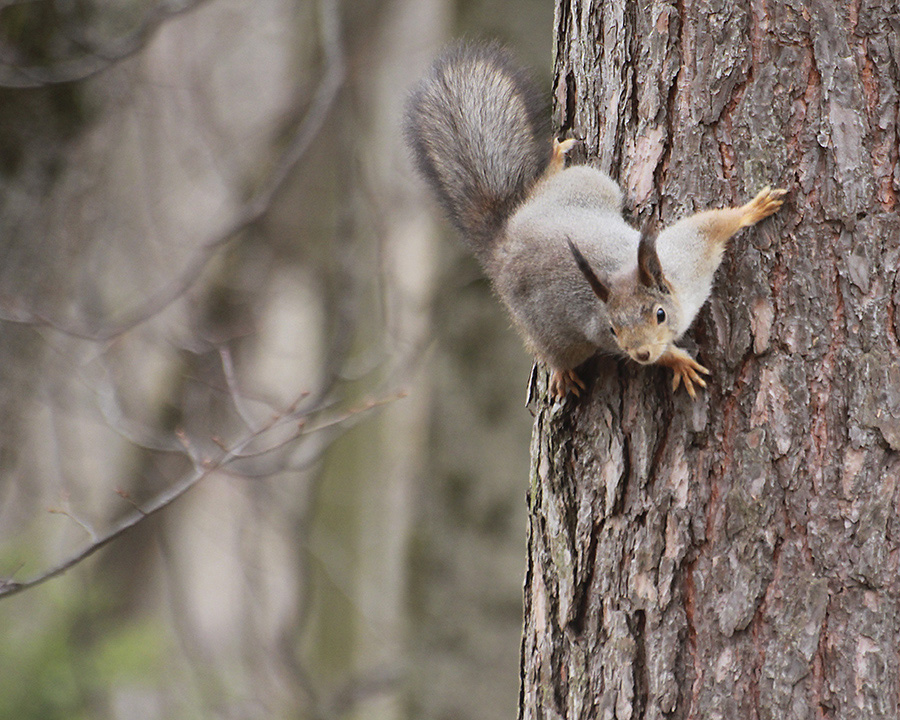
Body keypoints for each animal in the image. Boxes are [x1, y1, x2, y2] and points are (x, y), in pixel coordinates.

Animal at [404, 43, 784, 402]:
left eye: (659, 314)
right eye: (614, 330)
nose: (641, 353)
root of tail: (506, 236)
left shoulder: (689, 257)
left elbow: (712, 224)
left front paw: (753, 209)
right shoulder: (599, 330)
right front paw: (676, 361)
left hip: (588, 184)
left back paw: (554, 162)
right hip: (550, 327)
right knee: (555, 351)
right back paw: (561, 372)